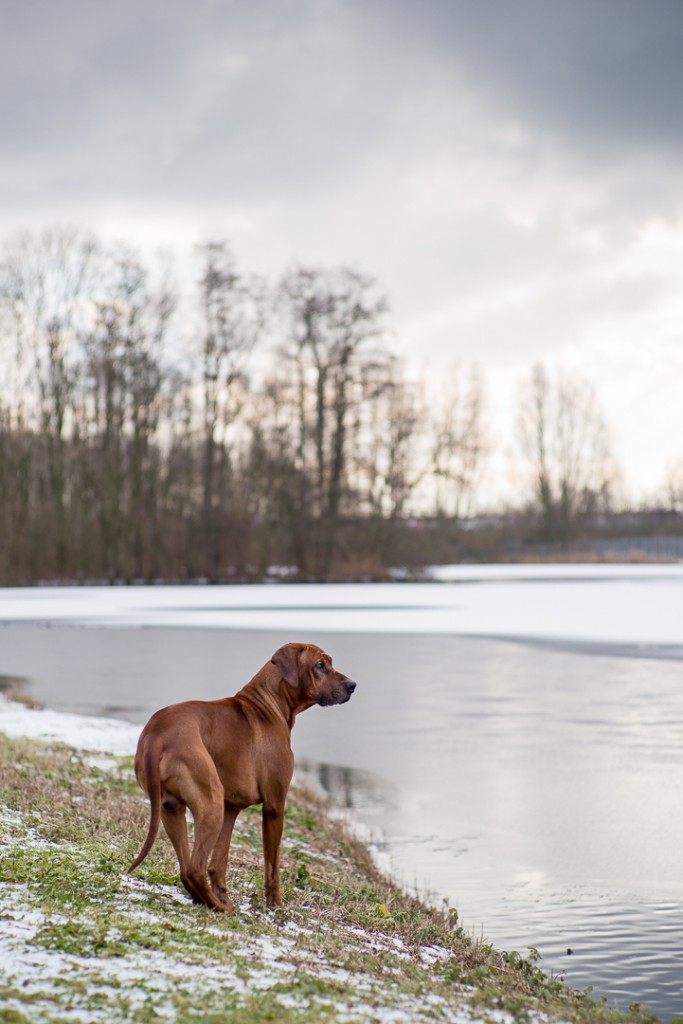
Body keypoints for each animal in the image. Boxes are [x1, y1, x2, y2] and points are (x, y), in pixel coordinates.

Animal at [126, 638, 358, 913]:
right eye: (320, 665)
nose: (352, 685)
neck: (268, 704)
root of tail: (156, 735)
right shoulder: (274, 805)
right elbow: (272, 866)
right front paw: (276, 905)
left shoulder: (231, 809)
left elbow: (219, 862)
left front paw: (224, 894)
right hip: (211, 802)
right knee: (194, 868)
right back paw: (221, 909)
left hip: (172, 808)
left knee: (186, 867)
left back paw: (210, 902)